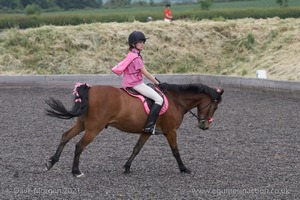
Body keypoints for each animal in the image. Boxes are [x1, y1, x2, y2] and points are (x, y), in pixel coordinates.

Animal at [44, 82, 223, 177]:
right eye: (214, 107)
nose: (205, 126)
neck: (176, 101)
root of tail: (90, 89)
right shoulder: (170, 131)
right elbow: (175, 151)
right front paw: (184, 168)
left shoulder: (146, 131)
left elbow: (136, 149)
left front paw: (127, 167)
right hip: (94, 128)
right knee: (79, 146)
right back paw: (76, 171)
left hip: (82, 124)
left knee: (65, 136)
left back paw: (51, 162)